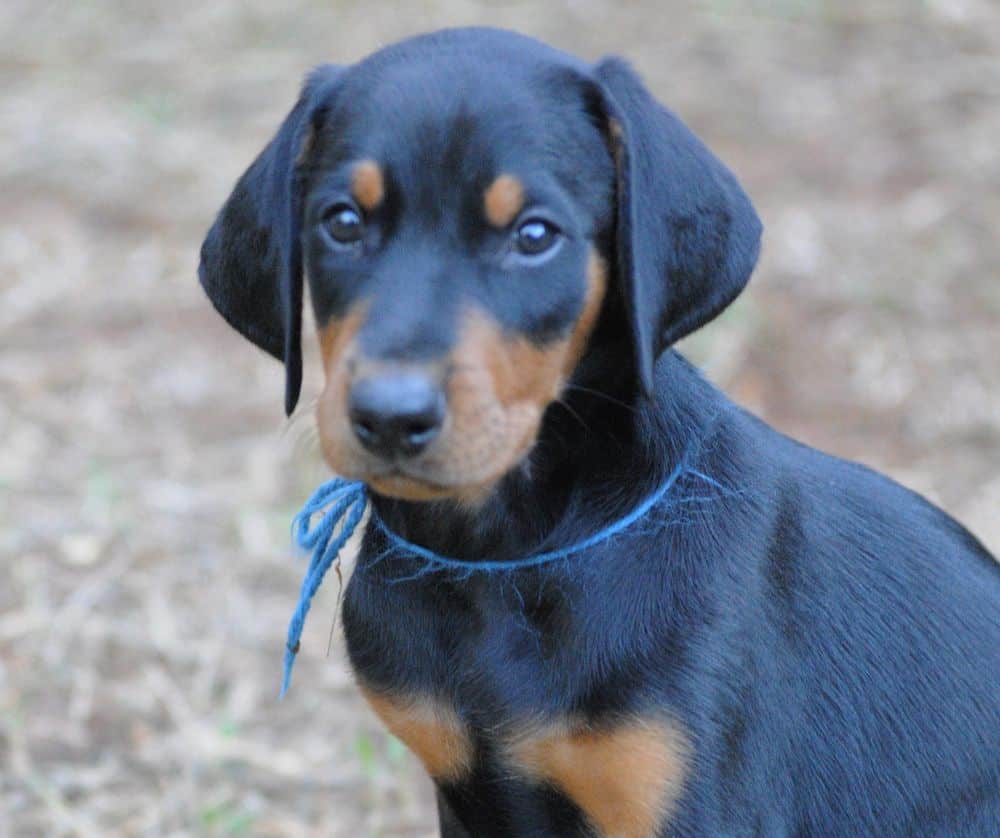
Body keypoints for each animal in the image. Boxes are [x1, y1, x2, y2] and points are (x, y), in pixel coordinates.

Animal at [201, 27, 1000, 838]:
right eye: (342, 223)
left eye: (534, 236)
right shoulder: (460, 780)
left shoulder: (689, 799)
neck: (506, 560)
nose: (391, 415)